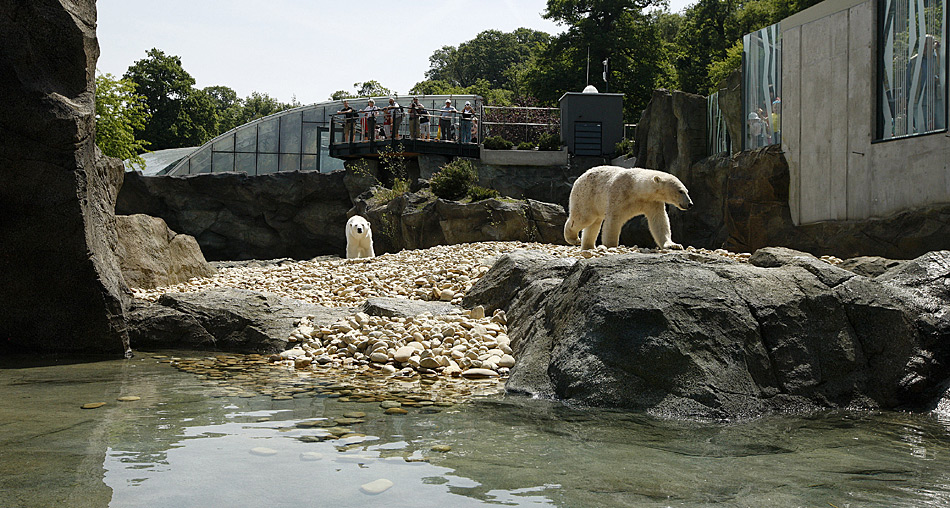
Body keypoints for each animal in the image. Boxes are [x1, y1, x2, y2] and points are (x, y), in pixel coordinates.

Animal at [564, 166, 692, 251]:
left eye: (686, 191)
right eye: (680, 191)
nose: (690, 204)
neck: (637, 187)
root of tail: (581, 176)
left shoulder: (653, 202)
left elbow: (659, 221)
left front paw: (673, 245)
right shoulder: (619, 194)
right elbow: (613, 220)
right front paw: (610, 245)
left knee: (594, 223)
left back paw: (589, 246)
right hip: (586, 195)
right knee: (583, 218)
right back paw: (574, 238)